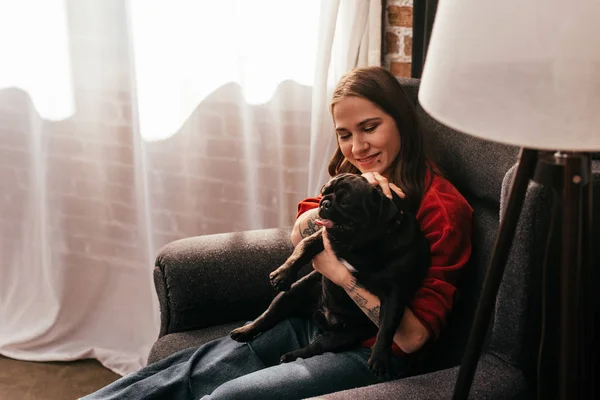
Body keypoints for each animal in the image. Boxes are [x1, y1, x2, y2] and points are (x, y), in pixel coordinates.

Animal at [230, 172, 432, 376]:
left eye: (344, 202)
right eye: (324, 191)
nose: (324, 202)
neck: (359, 244)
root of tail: (324, 316)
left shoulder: (395, 294)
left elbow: (387, 326)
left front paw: (380, 359)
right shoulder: (323, 237)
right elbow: (304, 248)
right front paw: (283, 274)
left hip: (347, 335)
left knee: (318, 346)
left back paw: (291, 356)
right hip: (291, 294)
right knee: (269, 314)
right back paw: (245, 331)